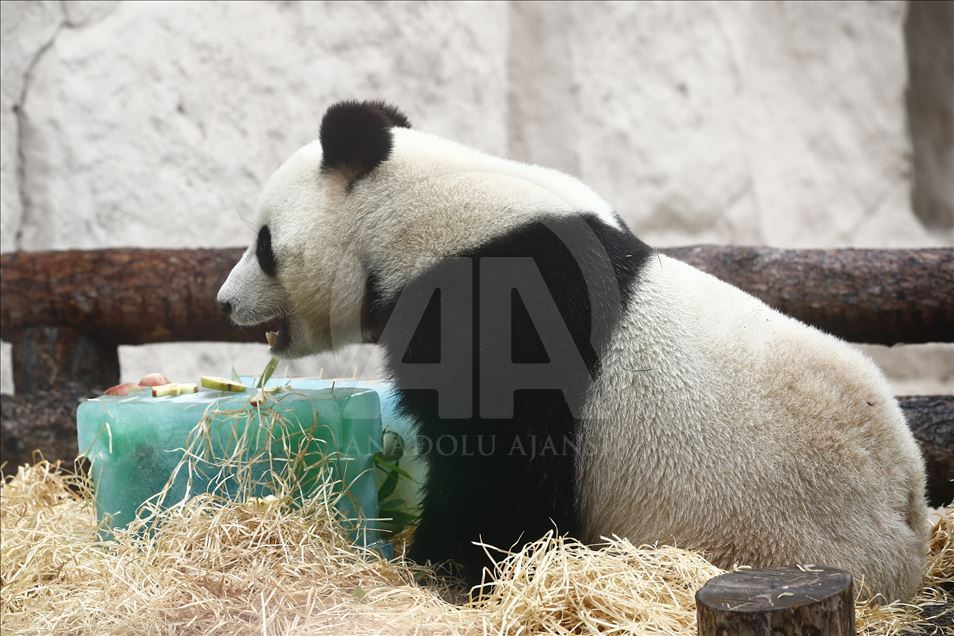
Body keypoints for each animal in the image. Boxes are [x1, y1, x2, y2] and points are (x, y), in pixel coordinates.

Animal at [219, 99, 924, 600]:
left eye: (264, 244)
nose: (224, 303)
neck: (415, 214)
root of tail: (910, 519)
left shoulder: (502, 304)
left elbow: (498, 468)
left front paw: (443, 563)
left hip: (778, 531)